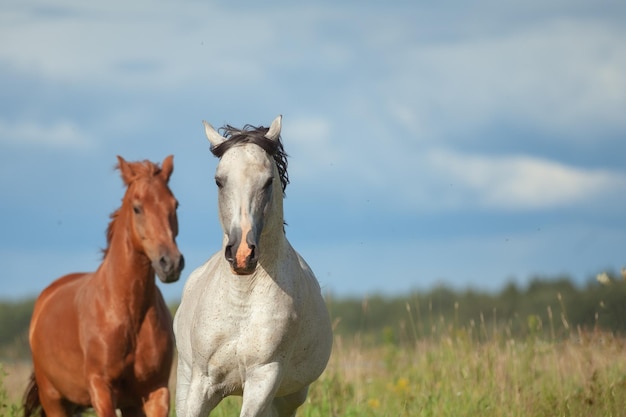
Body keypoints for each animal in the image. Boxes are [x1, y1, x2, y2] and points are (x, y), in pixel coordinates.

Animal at [25, 154, 185, 414]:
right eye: (137, 208)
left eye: (175, 205)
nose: (170, 263)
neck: (127, 312)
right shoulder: (101, 388)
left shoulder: (156, 391)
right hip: (53, 400)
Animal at [173, 114, 334, 416]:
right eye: (219, 181)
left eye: (268, 181)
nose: (241, 254)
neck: (241, 302)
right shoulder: (201, 382)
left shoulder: (263, 378)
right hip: (184, 379)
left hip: (288, 397)